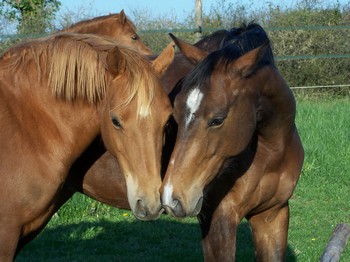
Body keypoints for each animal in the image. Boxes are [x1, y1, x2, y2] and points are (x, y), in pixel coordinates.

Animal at [160, 23, 304, 260]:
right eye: (176, 115)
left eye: (218, 120)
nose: (171, 197)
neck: (271, 153)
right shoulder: (218, 218)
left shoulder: (272, 215)